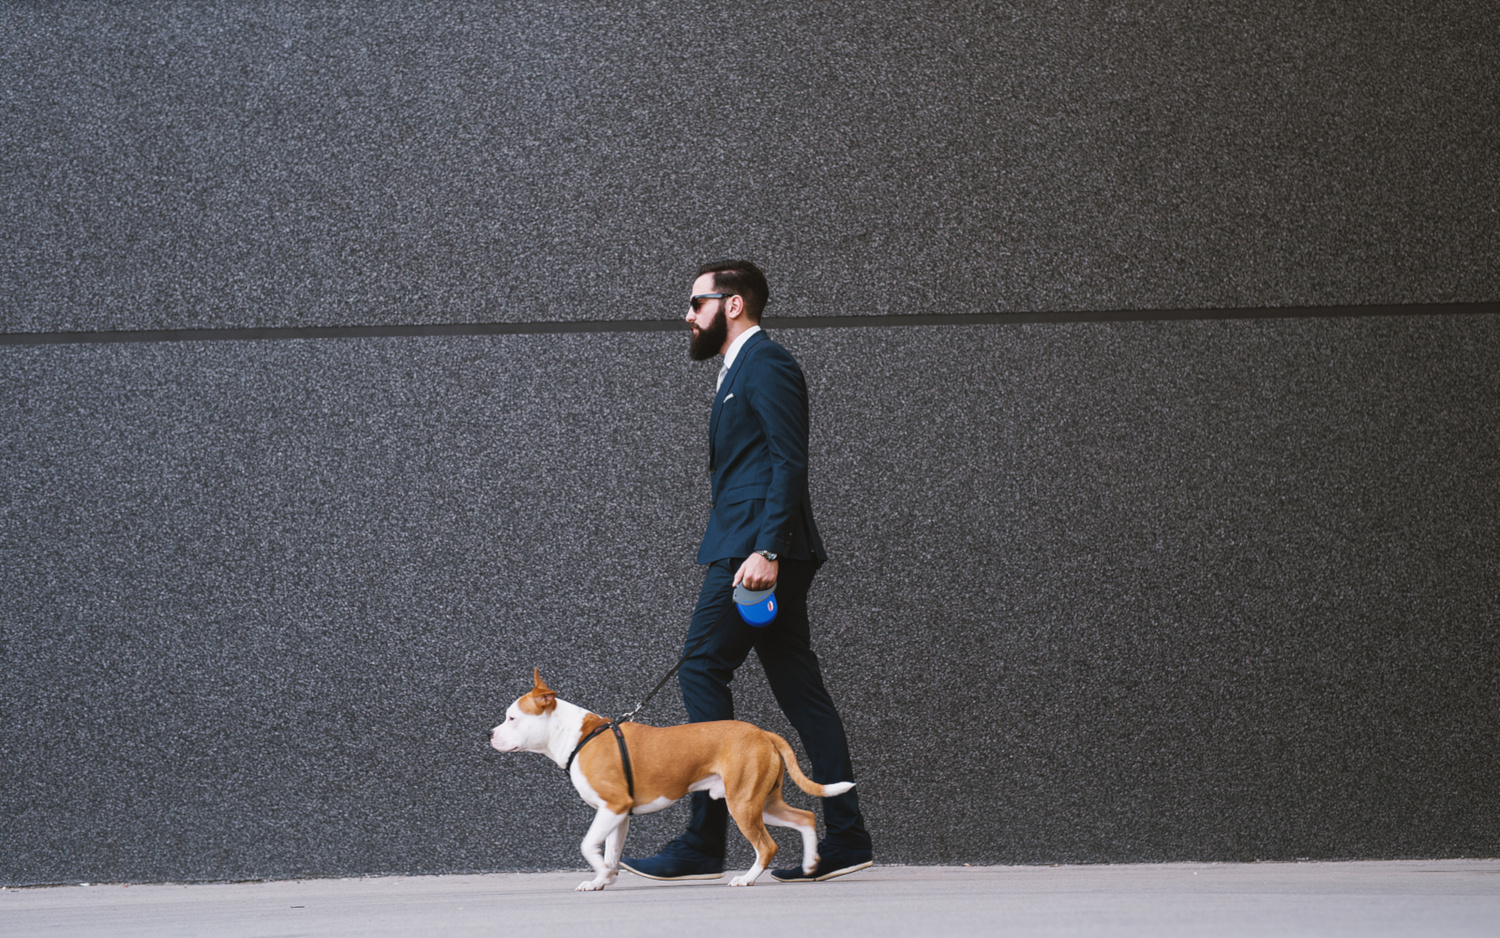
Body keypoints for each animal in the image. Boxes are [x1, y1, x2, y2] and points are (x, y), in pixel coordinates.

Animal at [486, 669, 852, 888]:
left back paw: (747, 878)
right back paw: (810, 865)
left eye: (512, 718)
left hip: (743, 804)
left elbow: (588, 844)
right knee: (804, 817)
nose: (490, 733)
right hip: (762, 802)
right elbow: (611, 851)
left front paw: (599, 874)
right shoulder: (619, 814)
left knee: (767, 845)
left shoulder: (612, 805)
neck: (578, 737)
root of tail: (762, 733)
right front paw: (602, 880)